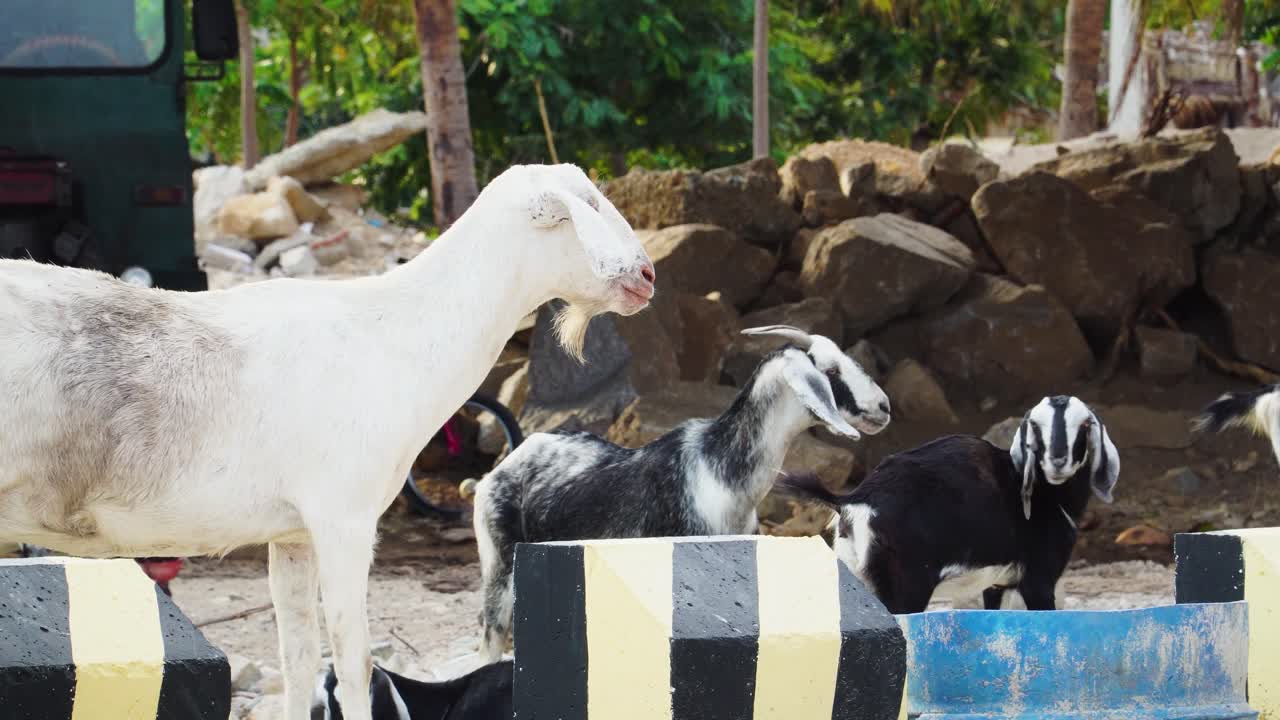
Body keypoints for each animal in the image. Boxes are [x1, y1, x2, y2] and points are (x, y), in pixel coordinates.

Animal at [779, 395, 1119, 615]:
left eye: (1084, 426)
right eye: (1035, 427)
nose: (1057, 462)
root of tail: (855, 498)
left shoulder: (997, 584)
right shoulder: (1039, 578)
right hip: (906, 585)